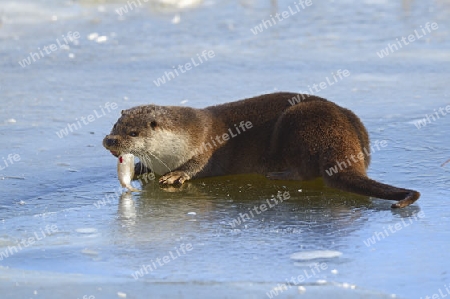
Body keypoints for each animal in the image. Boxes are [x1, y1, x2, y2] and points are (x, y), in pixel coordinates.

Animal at [103, 93, 420, 209]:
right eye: (115, 125)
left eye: (133, 133)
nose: (109, 140)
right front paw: (141, 169)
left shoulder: (207, 147)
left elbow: (196, 166)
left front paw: (176, 175)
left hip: (300, 124)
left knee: (307, 171)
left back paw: (278, 174)